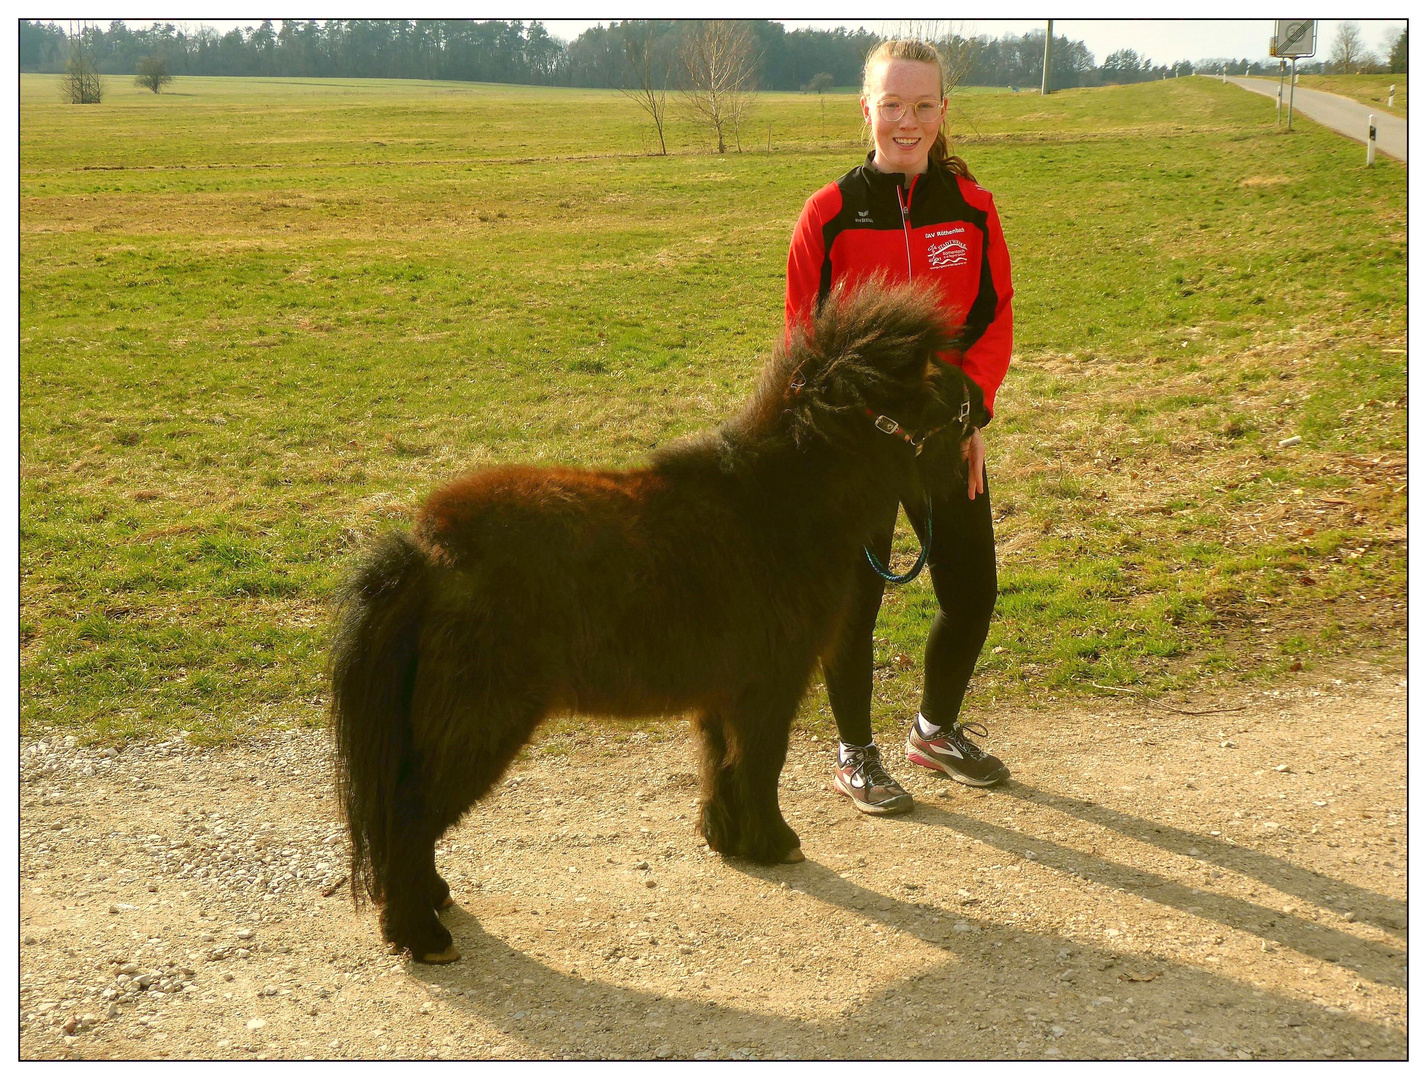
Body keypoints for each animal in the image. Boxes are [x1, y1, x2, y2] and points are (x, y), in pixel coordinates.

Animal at [332, 279, 981, 958]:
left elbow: (720, 764)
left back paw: (430, 903)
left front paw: (729, 840)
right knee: (411, 816)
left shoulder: (724, 693)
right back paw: (421, 933)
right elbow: (761, 764)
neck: (779, 506)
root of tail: (428, 553)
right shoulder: (770, 686)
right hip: (478, 724)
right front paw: (775, 842)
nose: (981, 407)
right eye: (937, 383)